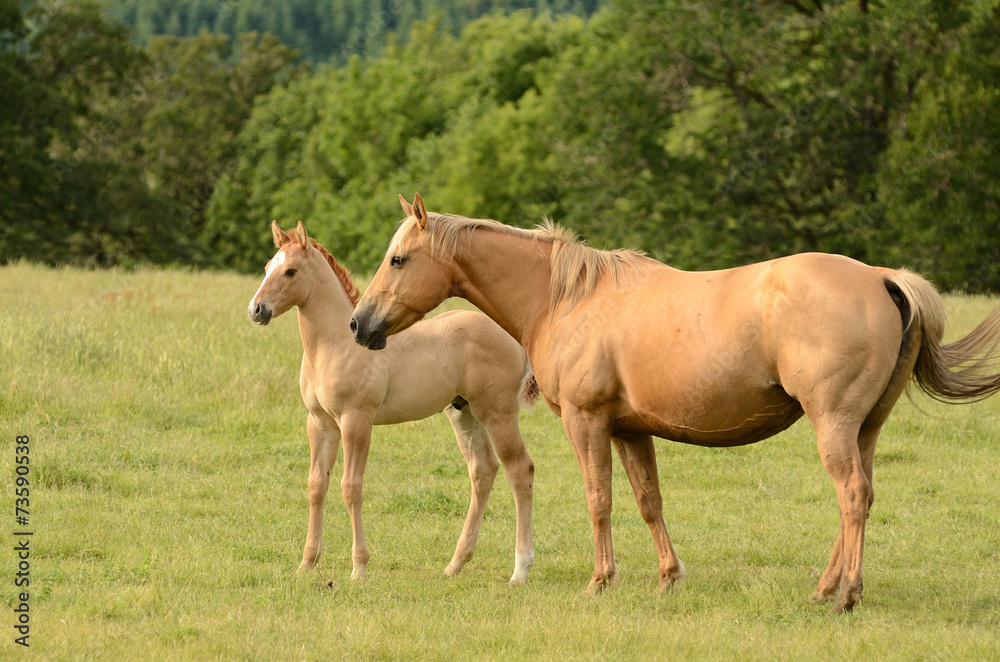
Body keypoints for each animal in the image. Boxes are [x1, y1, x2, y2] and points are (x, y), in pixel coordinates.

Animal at [248, 223, 540, 588]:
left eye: (290, 271)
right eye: (266, 268)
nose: (257, 310)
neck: (334, 345)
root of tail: (514, 337)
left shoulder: (356, 420)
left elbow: (350, 487)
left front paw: (359, 568)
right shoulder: (319, 423)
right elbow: (317, 485)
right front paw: (307, 564)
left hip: (497, 413)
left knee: (520, 470)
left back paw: (520, 570)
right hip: (463, 412)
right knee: (483, 470)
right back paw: (455, 564)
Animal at [350, 195, 1000, 616]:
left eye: (399, 259)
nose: (359, 324)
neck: (568, 298)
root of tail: (883, 278)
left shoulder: (588, 423)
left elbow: (599, 501)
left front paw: (600, 581)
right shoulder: (630, 430)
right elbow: (648, 502)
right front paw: (667, 579)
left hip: (834, 424)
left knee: (853, 497)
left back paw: (844, 595)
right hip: (864, 428)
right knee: (861, 493)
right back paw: (826, 588)